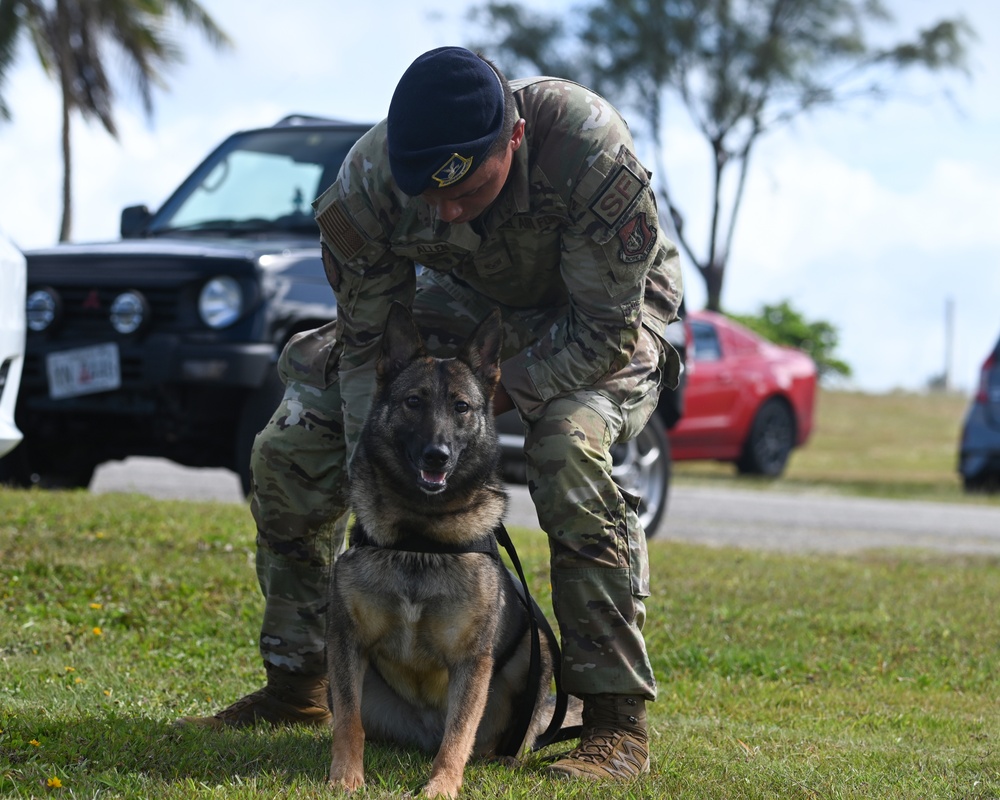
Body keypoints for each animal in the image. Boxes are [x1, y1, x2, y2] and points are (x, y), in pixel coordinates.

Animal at [326, 304, 568, 796]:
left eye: (461, 407)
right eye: (413, 402)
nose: (436, 455)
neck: (421, 538)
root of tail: (421, 734)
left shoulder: (472, 661)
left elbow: (458, 734)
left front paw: (441, 786)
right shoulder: (346, 641)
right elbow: (348, 720)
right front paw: (345, 776)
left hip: (537, 651)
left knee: (490, 740)